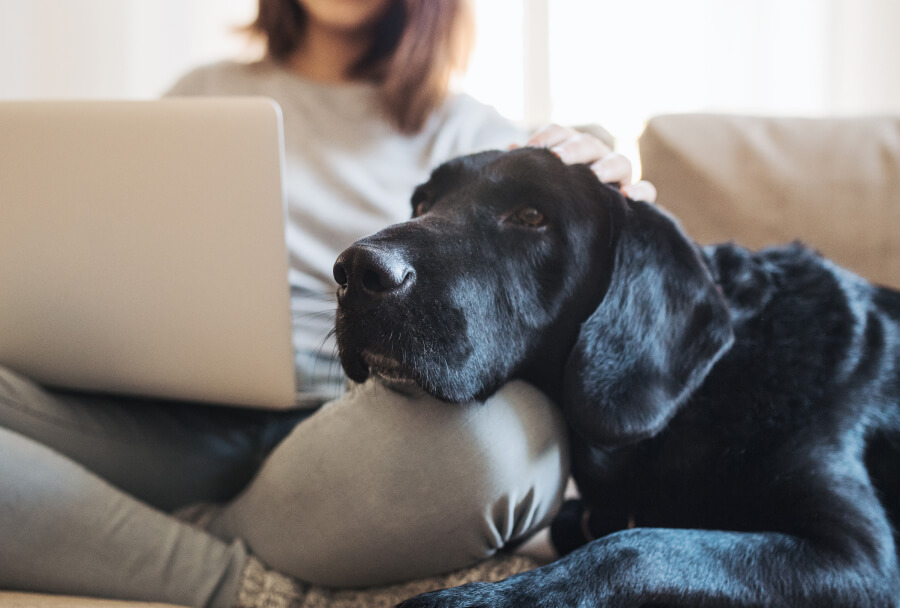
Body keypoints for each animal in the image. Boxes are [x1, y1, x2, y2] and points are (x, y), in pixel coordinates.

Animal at [332, 148, 900, 608]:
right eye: (422, 203)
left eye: (532, 215)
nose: (355, 271)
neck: (703, 395)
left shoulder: (859, 559)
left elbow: (636, 547)